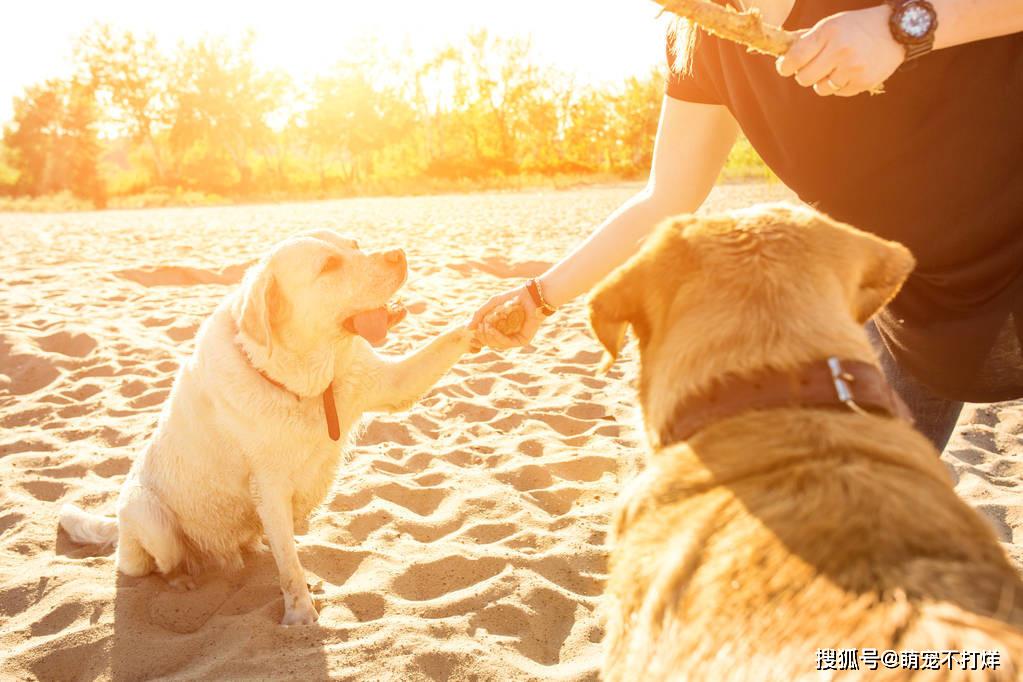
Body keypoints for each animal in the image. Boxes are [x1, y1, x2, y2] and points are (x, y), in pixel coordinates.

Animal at [61, 232, 476, 625]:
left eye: (355, 244)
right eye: (329, 265)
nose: (399, 255)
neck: (302, 382)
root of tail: (117, 527)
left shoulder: (390, 384)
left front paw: (486, 318)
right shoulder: (271, 486)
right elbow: (290, 567)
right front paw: (300, 616)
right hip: (147, 515)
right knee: (156, 563)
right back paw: (181, 577)